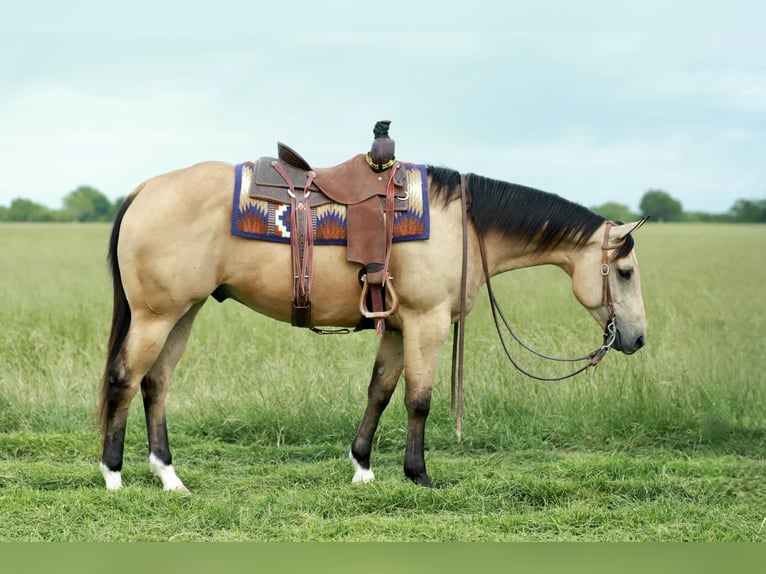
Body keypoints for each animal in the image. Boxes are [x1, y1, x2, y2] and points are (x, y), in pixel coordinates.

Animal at [97, 159, 647, 492]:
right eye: (624, 272)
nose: (638, 338)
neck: (462, 225)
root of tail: (144, 190)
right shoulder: (426, 323)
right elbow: (418, 400)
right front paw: (418, 474)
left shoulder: (400, 328)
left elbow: (379, 392)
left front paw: (362, 466)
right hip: (157, 316)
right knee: (125, 380)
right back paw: (113, 474)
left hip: (183, 313)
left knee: (155, 383)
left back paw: (169, 476)